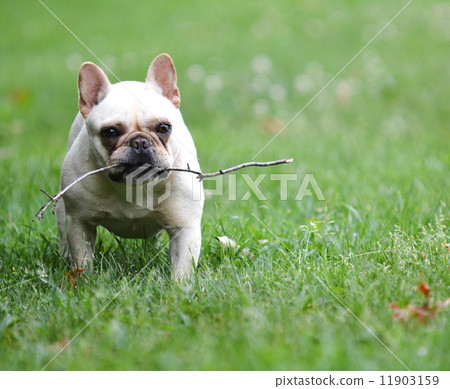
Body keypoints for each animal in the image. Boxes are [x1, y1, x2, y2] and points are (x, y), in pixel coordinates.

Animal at [57, 53, 204, 278]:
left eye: (164, 128)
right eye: (110, 132)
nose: (140, 142)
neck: (135, 186)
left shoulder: (184, 228)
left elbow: (182, 267)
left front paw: (180, 286)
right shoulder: (80, 224)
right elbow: (83, 259)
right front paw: (85, 281)